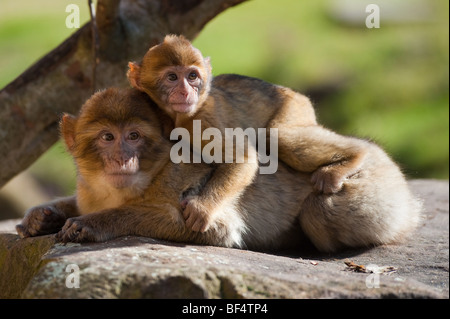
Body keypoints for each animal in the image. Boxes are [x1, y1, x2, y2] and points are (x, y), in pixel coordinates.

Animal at [14, 89, 422, 254]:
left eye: (133, 136)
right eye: (107, 137)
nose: (122, 160)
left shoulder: (183, 189)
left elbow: (209, 227)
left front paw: (97, 223)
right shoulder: (90, 189)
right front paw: (43, 215)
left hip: (373, 190)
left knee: (319, 209)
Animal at [125, 35, 370, 235]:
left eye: (192, 76)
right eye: (172, 77)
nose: (186, 92)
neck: (176, 117)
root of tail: (290, 91)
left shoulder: (203, 120)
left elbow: (242, 158)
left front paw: (203, 208)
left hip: (295, 107)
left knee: (278, 136)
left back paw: (356, 154)